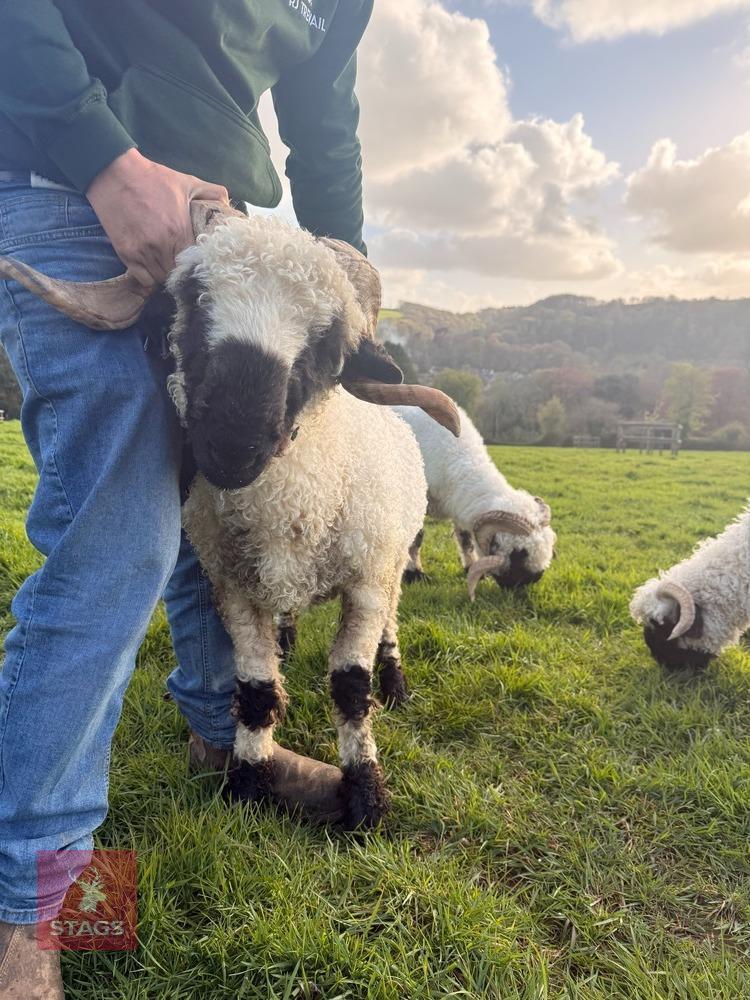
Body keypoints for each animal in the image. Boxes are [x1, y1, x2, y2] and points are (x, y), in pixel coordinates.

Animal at [392, 405, 556, 599]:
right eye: (519, 554)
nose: (526, 585)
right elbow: (416, 538)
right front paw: (415, 573)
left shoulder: (460, 508)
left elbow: (466, 540)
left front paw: (471, 567)